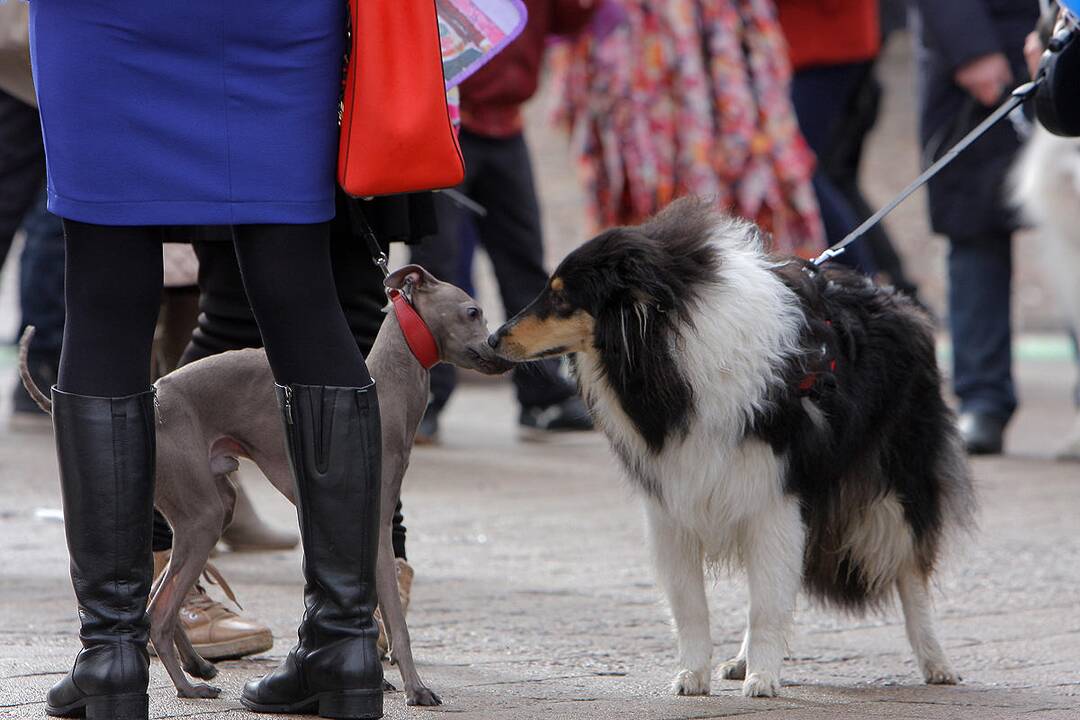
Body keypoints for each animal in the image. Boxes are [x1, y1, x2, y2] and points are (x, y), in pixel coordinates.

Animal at [23, 264, 511, 708]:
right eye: (473, 311)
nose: (503, 353)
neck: (387, 389)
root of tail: (153, 396)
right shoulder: (374, 528)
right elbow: (394, 618)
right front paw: (413, 687)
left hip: (216, 503)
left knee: (155, 595)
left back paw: (197, 665)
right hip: (201, 515)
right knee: (159, 610)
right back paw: (186, 687)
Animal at [488, 197, 972, 699]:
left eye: (562, 297)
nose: (491, 337)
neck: (672, 344)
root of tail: (902, 303)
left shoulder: (775, 494)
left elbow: (767, 602)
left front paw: (763, 679)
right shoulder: (675, 501)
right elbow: (692, 603)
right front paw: (693, 677)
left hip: (897, 485)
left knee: (910, 573)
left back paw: (936, 664)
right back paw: (740, 661)